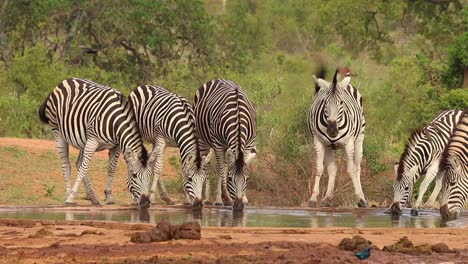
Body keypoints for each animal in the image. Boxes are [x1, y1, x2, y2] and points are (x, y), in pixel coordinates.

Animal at [38, 77, 155, 209]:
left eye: (150, 175)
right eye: (134, 175)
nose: (146, 203)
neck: (114, 120)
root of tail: (64, 81)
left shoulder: (116, 146)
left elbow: (111, 168)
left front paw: (109, 197)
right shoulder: (93, 141)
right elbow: (85, 167)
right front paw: (71, 197)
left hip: (83, 139)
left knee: (78, 162)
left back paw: (92, 197)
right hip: (58, 131)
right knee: (66, 164)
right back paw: (68, 195)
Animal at [193, 79, 256, 212]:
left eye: (247, 179)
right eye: (230, 179)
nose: (239, 207)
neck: (238, 117)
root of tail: (218, 79)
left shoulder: (249, 143)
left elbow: (239, 166)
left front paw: (242, 198)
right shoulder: (218, 143)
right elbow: (220, 169)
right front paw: (218, 200)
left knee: (227, 164)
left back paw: (226, 197)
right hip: (203, 140)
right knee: (208, 166)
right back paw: (208, 199)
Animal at [308, 66, 370, 208]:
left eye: (341, 102)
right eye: (325, 102)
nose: (332, 131)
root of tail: (344, 83)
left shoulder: (349, 144)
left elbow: (351, 170)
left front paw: (360, 199)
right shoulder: (318, 142)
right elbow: (319, 169)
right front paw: (313, 198)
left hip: (359, 139)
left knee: (357, 167)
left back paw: (362, 197)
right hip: (328, 146)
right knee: (332, 169)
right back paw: (327, 198)